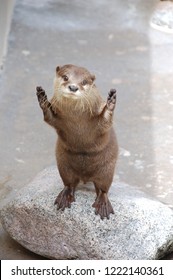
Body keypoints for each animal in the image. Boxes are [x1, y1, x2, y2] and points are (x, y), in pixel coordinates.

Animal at [35, 64, 118, 220]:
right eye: (65, 77)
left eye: (84, 82)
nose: (73, 87)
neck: (76, 115)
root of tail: (85, 177)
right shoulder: (57, 118)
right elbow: (49, 118)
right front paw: (42, 99)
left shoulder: (99, 119)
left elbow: (105, 121)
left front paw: (110, 103)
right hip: (63, 165)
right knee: (69, 183)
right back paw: (65, 197)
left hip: (107, 170)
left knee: (103, 189)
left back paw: (102, 205)